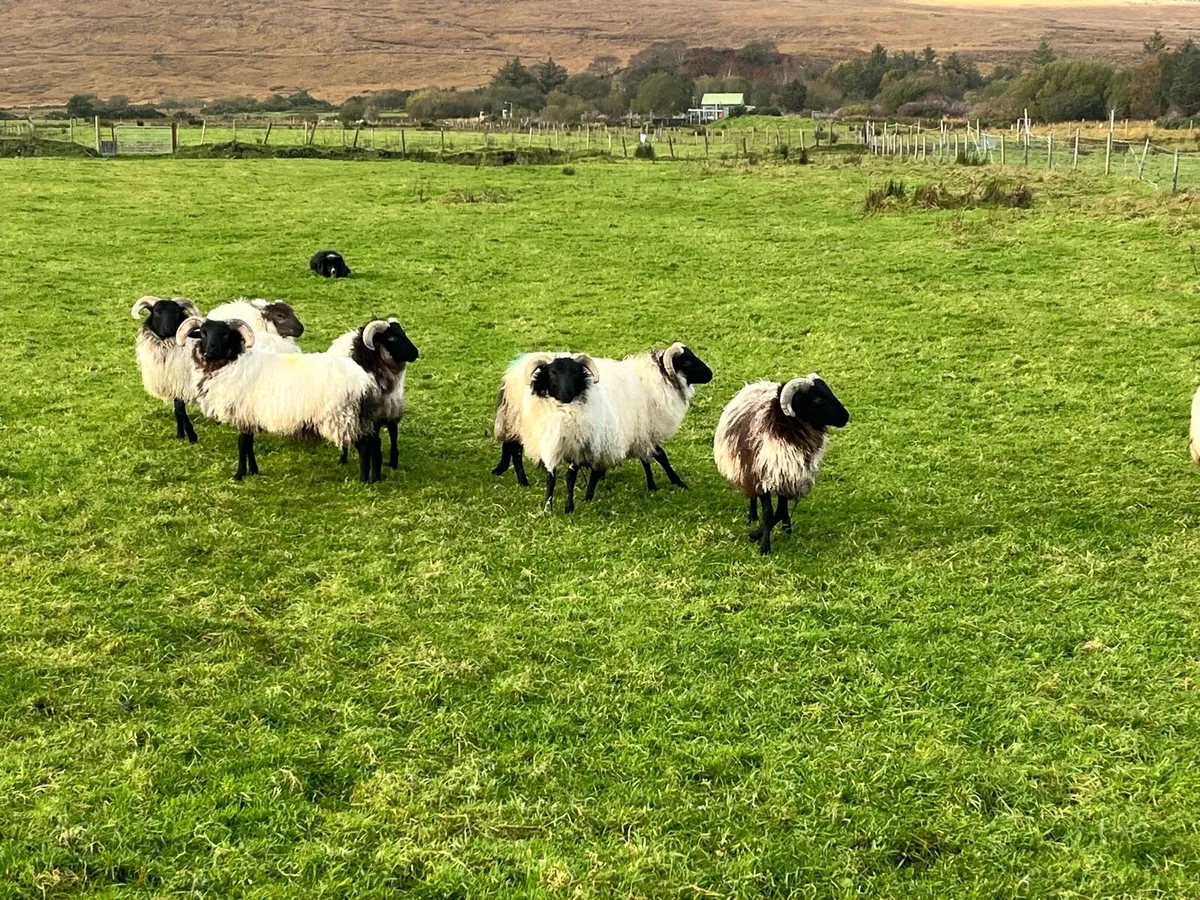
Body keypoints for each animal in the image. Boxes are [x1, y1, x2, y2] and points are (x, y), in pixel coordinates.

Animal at [132, 295, 203, 442]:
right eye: (157, 312)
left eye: (176, 312)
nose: (167, 328)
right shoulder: (172, 383)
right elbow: (177, 409)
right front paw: (180, 434)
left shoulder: (181, 383)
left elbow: (180, 409)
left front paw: (192, 436)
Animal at [175, 316, 383, 483]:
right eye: (203, 333)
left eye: (225, 334)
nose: (210, 350)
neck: (232, 362)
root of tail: (364, 380)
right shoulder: (249, 416)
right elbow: (249, 444)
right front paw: (253, 470)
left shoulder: (242, 415)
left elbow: (242, 444)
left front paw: (239, 475)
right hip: (359, 417)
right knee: (374, 443)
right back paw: (376, 478)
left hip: (343, 417)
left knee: (365, 446)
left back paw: (363, 480)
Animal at [329, 318, 420, 469]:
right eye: (391, 338)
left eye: (403, 333)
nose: (416, 353)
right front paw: (343, 458)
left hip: (391, 407)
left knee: (393, 431)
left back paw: (393, 462)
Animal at [510, 353, 622, 512]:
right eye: (552, 372)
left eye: (575, 372)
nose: (566, 394)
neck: (563, 412)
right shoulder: (550, 447)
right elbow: (551, 478)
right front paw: (547, 508)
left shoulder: (577, 449)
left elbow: (570, 477)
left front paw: (569, 508)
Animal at [713, 375, 849, 554]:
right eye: (817, 399)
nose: (846, 417)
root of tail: (756, 384)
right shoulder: (762, 477)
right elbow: (768, 513)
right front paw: (763, 545)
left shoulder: (787, 477)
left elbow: (779, 511)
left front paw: (758, 534)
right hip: (745, 468)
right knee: (751, 495)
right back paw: (752, 517)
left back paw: (786, 527)